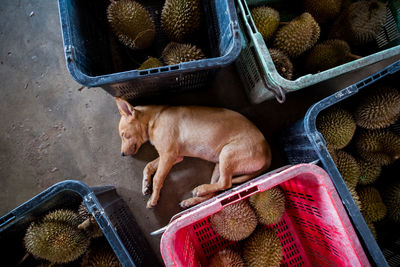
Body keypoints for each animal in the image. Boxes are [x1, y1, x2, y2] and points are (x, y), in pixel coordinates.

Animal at [115, 98, 272, 209]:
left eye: (123, 134)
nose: (121, 154)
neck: (154, 119)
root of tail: (267, 150)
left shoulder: (168, 155)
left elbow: (158, 178)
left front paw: (153, 199)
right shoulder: (174, 156)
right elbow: (148, 166)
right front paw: (146, 185)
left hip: (227, 154)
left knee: (225, 183)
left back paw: (200, 189)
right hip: (219, 165)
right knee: (215, 191)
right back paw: (192, 200)